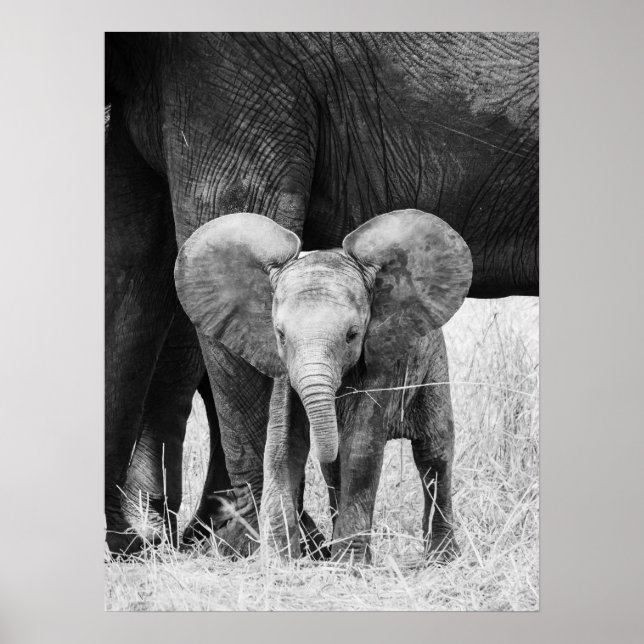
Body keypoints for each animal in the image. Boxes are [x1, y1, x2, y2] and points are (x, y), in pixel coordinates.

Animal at [175, 210, 472, 562]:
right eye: (280, 335)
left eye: (352, 335)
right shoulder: (285, 374)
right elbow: (281, 447)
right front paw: (282, 562)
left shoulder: (381, 362)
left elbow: (361, 447)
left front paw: (349, 565)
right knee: (335, 473)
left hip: (432, 364)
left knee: (434, 453)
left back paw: (442, 558)